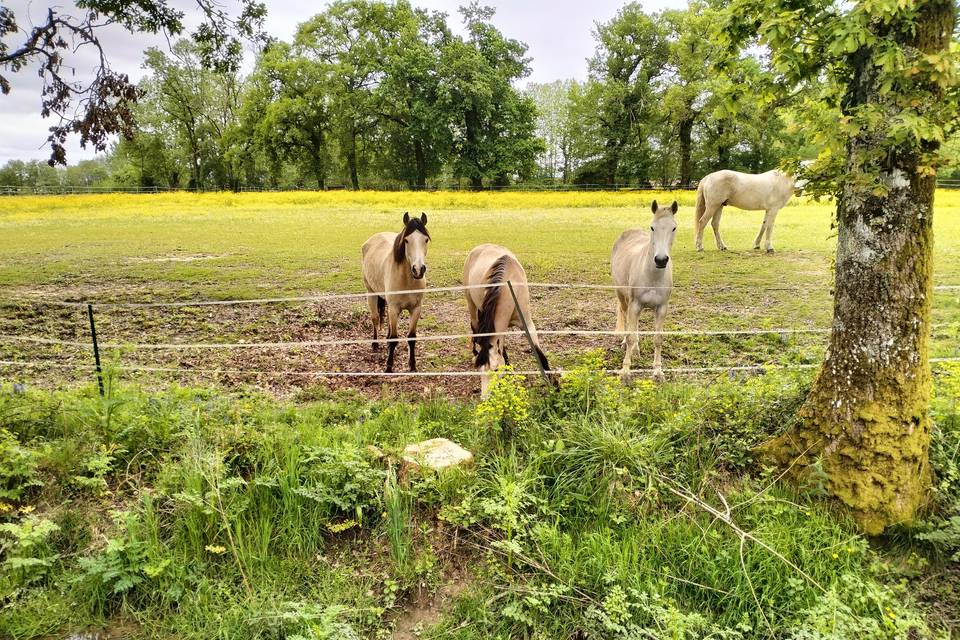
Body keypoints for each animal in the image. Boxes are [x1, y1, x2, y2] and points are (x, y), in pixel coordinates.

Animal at [362, 214, 430, 372]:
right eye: (406, 240)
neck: (407, 281)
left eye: (425, 239)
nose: (418, 270)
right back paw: (375, 344)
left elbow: (411, 337)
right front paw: (388, 367)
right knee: (375, 318)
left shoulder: (416, 309)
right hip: (371, 294)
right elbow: (394, 338)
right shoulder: (394, 308)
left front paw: (412, 366)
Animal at [464, 244, 552, 398]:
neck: (511, 286)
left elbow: (541, 356)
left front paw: (555, 388)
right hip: (472, 306)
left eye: (495, 370)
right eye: (480, 370)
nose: (485, 399)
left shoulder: (528, 325)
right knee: (475, 328)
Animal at [612, 199, 680, 380]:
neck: (652, 276)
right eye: (652, 227)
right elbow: (630, 335)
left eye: (674, 227)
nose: (661, 260)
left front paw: (657, 372)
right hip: (622, 295)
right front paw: (625, 372)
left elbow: (658, 339)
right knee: (625, 316)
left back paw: (636, 349)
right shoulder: (635, 304)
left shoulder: (662, 308)